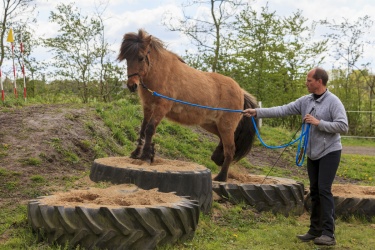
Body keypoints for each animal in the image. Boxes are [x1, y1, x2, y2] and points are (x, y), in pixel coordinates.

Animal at [117, 29, 258, 182]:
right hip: (211, 124)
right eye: (127, 58)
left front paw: (146, 156)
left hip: (226, 126)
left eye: (141, 58)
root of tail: (241, 91)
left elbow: (149, 129)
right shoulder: (148, 107)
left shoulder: (161, 108)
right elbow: (143, 129)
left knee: (230, 149)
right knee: (226, 142)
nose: (132, 85)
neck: (161, 74)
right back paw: (217, 158)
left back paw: (221, 177)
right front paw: (137, 154)